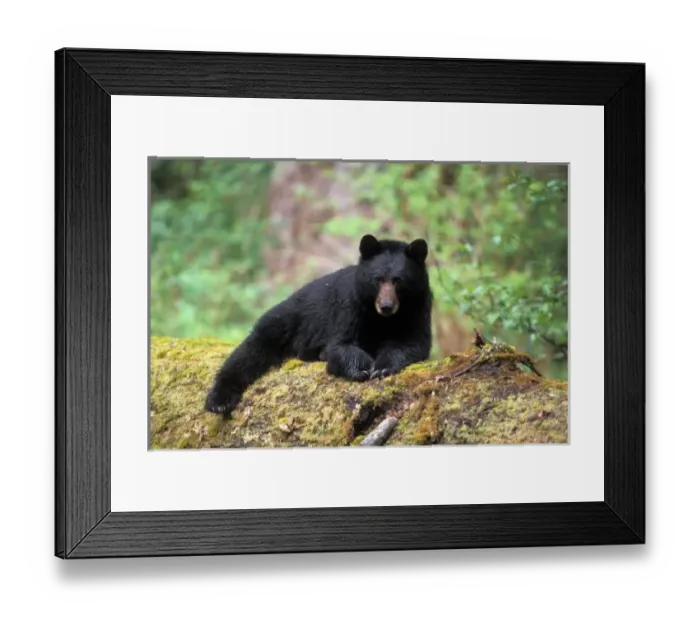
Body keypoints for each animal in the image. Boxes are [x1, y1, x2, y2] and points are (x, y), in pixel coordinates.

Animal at [204, 234, 433, 417]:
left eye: (398, 280)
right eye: (377, 279)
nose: (386, 306)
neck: (383, 320)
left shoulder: (418, 309)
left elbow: (412, 342)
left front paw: (383, 367)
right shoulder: (350, 307)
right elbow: (341, 344)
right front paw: (362, 367)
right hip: (283, 322)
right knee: (248, 353)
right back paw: (219, 401)